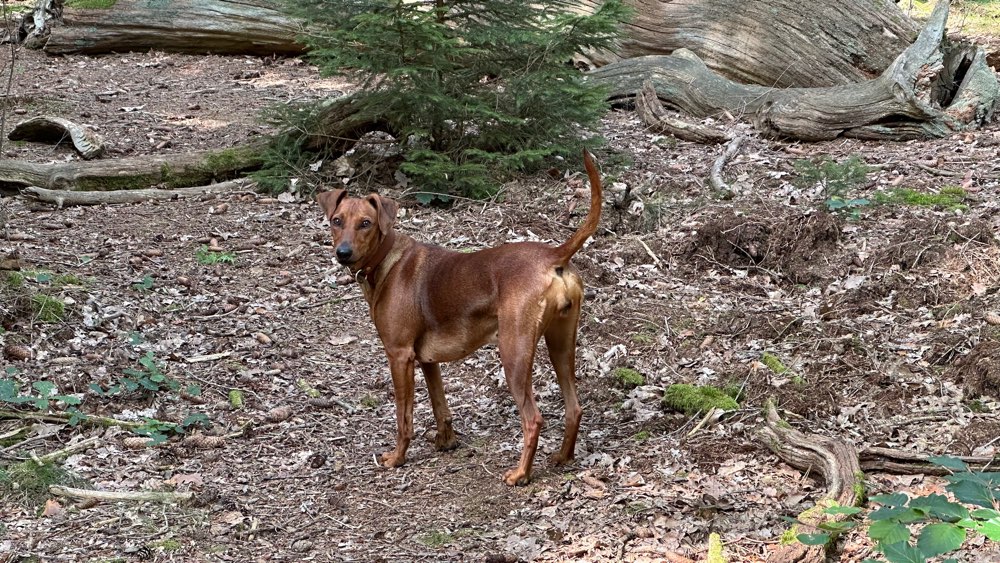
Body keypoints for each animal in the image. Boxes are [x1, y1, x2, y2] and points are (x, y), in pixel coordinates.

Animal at [320, 152, 600, 486]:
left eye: (366, 223)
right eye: (337, 221)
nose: (343, 252)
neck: (387, 259)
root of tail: (553, 256)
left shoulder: (399, 355)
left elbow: (404, 416)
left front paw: (397, 458)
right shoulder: (426, 360)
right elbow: (440, 405)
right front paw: (446, 442)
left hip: (514, 352)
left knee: (533, 419)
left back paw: (521, 473)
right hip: (561, 345)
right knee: (575, 408)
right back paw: (562, 457)